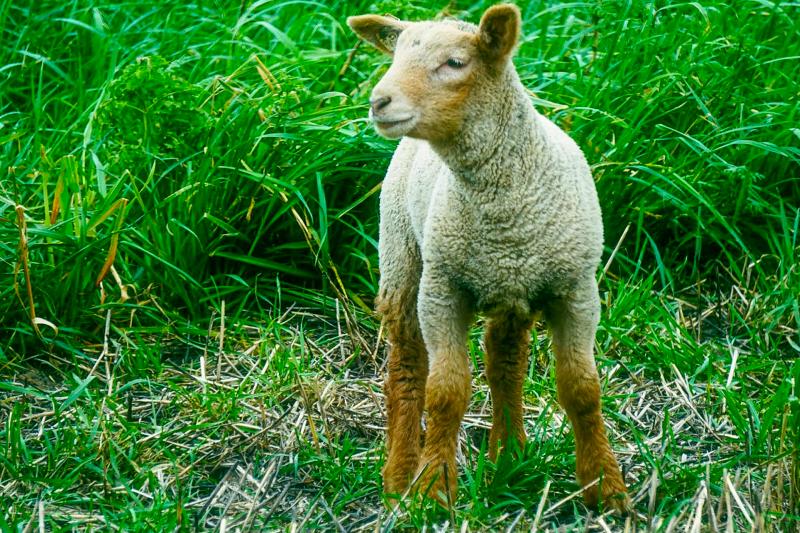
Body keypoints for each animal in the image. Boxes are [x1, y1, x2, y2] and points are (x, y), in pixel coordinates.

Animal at [347, 4, 631, 512]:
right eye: (395, 57)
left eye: (456, 63)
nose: (379, 102)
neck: (505, 205)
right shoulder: (441, 290)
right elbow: (446, 392)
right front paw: (433, 488)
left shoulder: (577, 289)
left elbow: (582, 389)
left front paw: (605, 487)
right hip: (402, 254)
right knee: (407, 366)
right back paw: (399, 476)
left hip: (510, 288)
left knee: (505, 360)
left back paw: (509, 456)